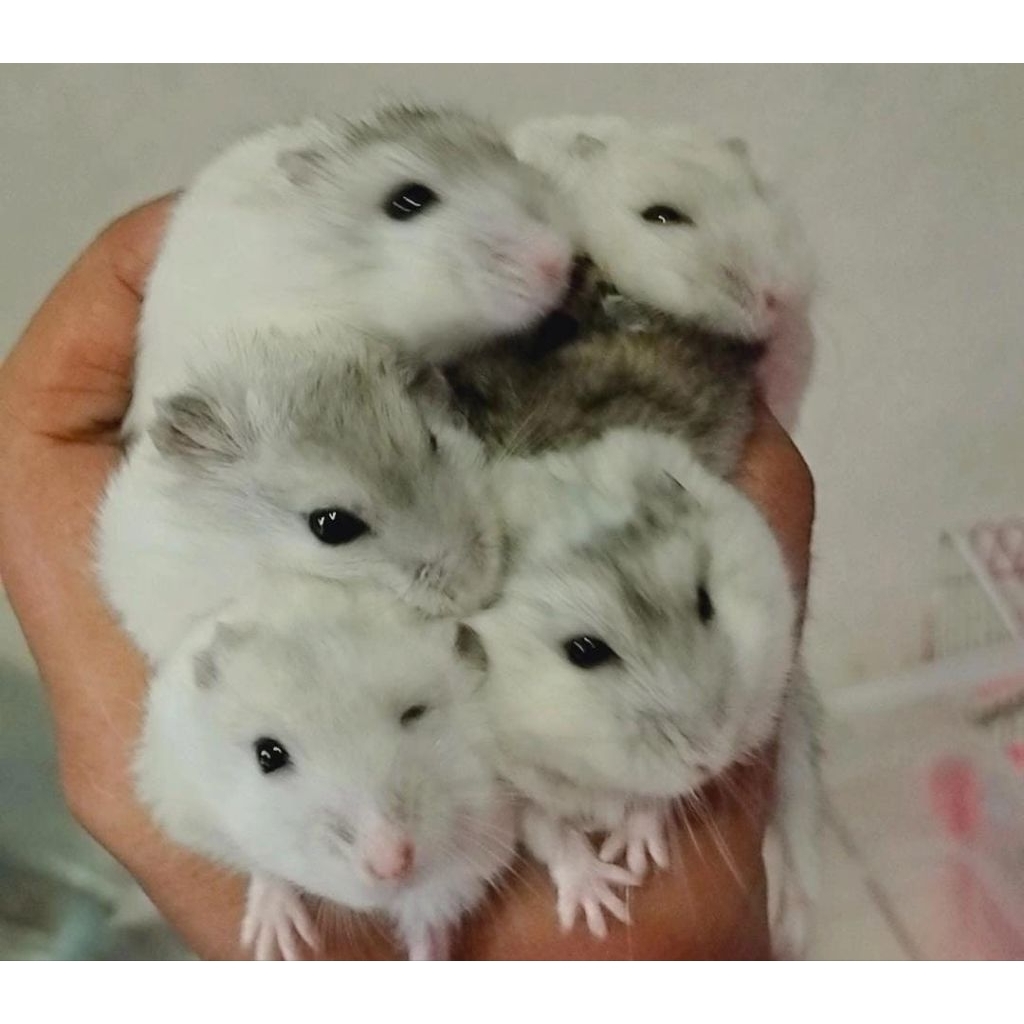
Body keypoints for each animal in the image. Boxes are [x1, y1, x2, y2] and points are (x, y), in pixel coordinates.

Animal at [135, 575, 515, 960]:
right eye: (268, 755)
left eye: (414, 712)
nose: (392, 863)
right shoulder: (190, 809)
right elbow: (263, 866)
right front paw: (278, 945)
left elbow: (429, 924)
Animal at [471, 429, 797, 934]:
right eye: (584, 651)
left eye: (705, 601)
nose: (710, 757)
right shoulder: (518, 791)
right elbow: (552, 834)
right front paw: (601, 910)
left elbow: (650, 798)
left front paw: (638, 856)